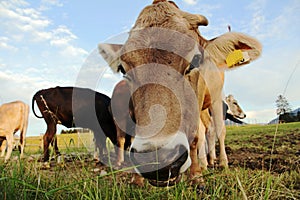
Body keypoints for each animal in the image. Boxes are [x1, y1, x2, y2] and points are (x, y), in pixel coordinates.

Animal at [98, 0, 260, 188]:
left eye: (196, 60)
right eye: (124, 69)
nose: (158, 160)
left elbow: (197, 135)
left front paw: (196, 177)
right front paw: (137, 180)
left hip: (215, 98)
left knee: (218, 130)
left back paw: (220, 163)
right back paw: (205, 162)